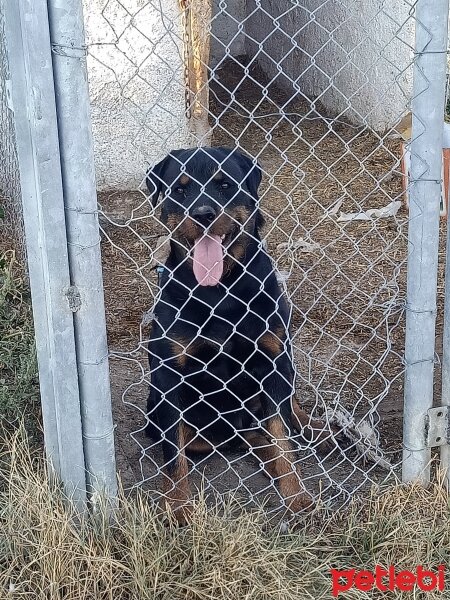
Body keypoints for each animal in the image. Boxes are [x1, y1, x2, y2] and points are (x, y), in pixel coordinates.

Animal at [146, 148, 328, 524]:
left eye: (225, 184)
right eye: (180, 189)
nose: (203, 214)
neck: (221, 292)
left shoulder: (273, 360)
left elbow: (283, 438)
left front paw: (297, 497)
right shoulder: (170, 377)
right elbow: (175, 456)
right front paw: (179, 508)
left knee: (285, 415)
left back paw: (312, 428)